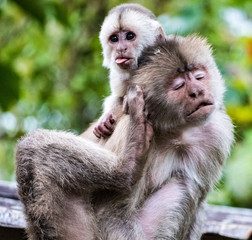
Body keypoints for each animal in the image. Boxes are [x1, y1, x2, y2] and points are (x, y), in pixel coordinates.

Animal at [88, 2, 165, 139]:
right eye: (114, 38)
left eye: (130, 36)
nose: (120, 48)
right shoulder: (117, 76)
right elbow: (118, 97)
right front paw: (104, 118)